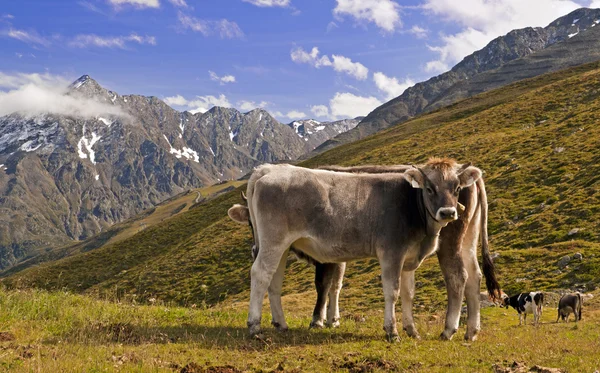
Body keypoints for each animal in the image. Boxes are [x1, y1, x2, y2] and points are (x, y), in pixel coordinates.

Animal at [227, 157, 500, 340]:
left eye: (456, 189)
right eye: (429, 188)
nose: (448, 212)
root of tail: (268, 170)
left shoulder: (407, 256)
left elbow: (408, 292)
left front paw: (411, 330)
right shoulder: (391, 252)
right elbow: (392, 291)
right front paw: (392, 332)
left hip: (280, 245)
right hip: (273, 241)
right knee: (261, 274)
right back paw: (254, 326)